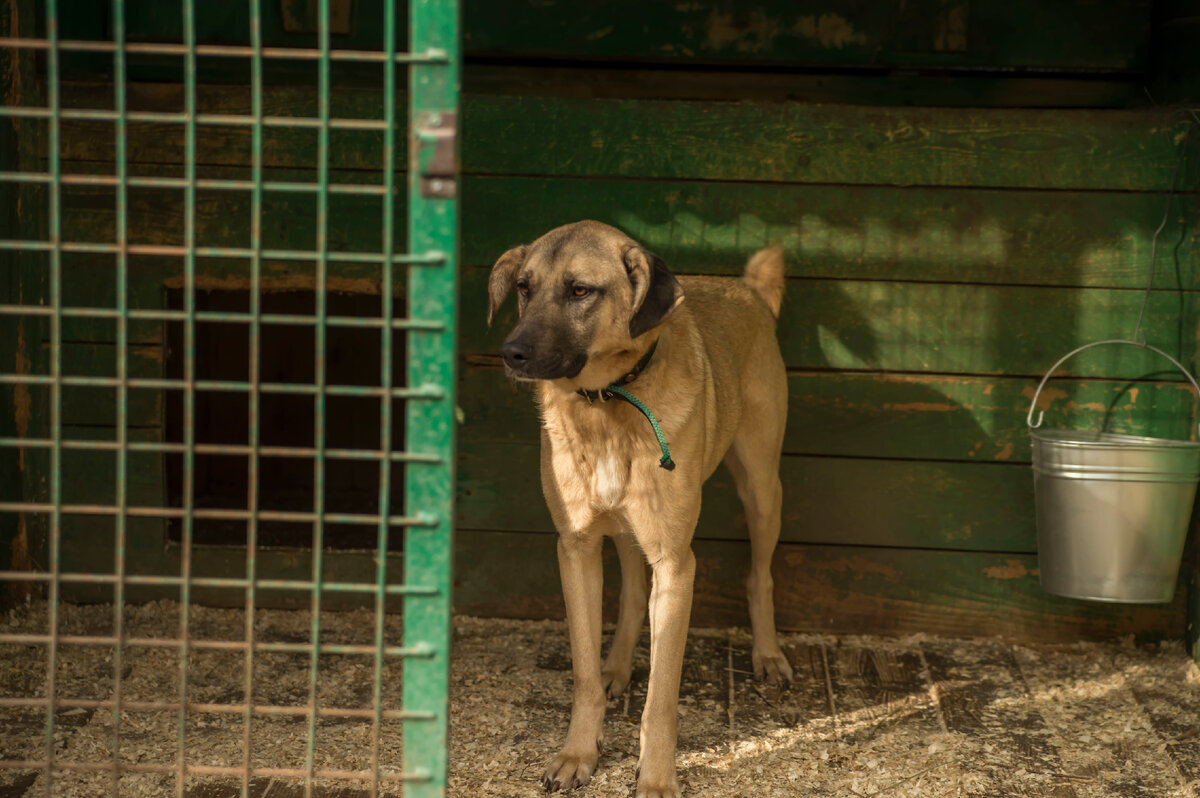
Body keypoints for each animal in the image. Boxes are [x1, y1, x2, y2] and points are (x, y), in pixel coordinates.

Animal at [487, 219, 796, 796]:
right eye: (523, 288)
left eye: (580, 291)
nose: (510, 353)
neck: (606, 402)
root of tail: (744, 289)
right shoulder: (577, 549)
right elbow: (583, 672)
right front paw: (578, 752)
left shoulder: (676, 564)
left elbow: (662, 696)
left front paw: (654, 778)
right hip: (629, 528)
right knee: (631, 592)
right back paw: (617, 667)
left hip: (763, 489)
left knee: (759, 575)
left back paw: (767, 654)